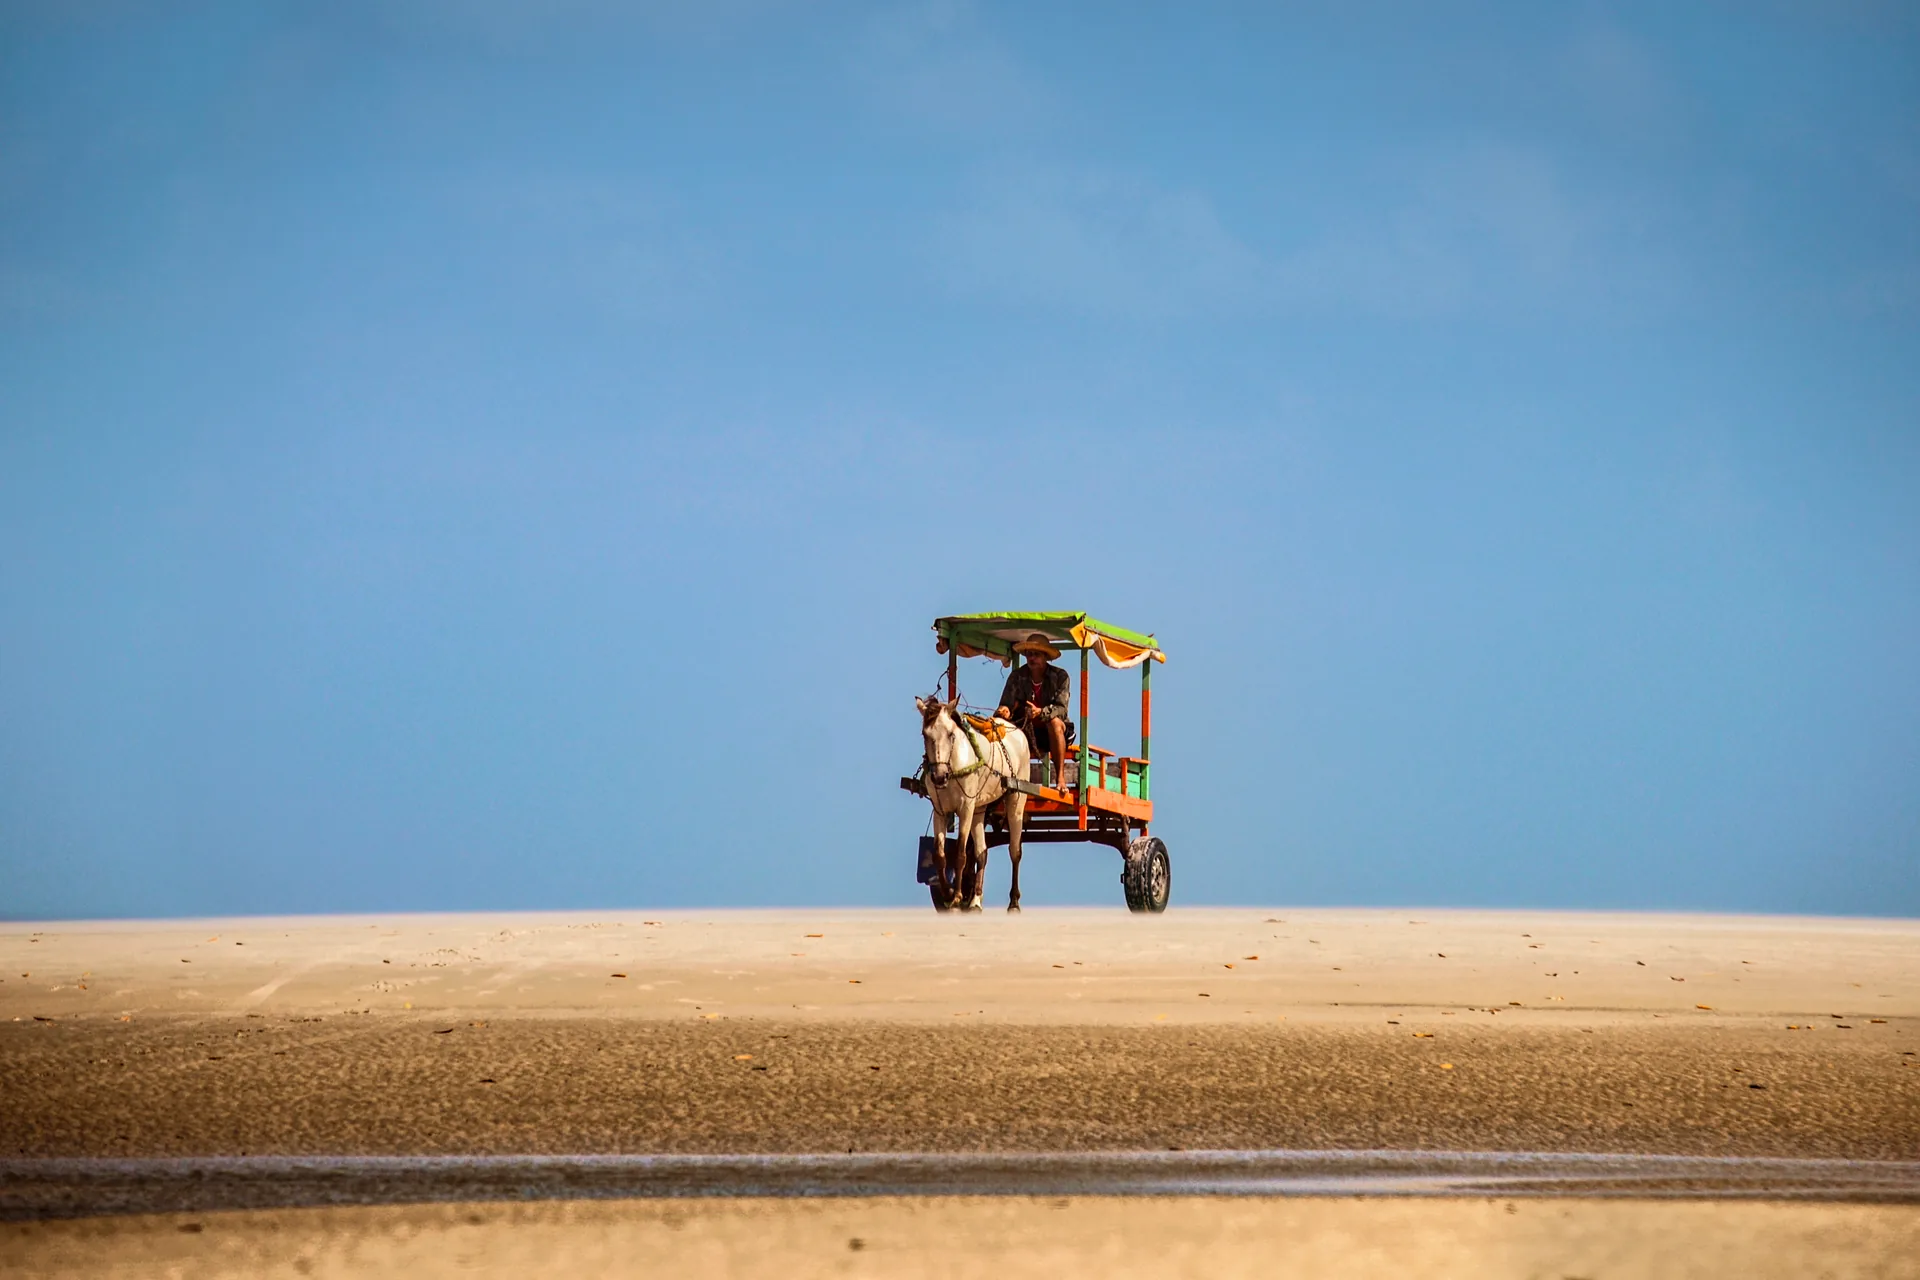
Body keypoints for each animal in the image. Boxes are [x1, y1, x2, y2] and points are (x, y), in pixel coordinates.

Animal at [915, 696, 1031, 912]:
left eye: (951, 734)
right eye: (925, 734)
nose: (939, 776)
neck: (953, 768)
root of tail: (1017, 729)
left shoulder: (966, 808)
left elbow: (961, 853)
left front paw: (957, 896)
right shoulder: (940, 810)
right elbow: (940, 855)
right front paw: (947, 893)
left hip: (1016, 799)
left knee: (1015, 851)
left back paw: (1013, 902)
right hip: (980, 808)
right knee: (981, 852)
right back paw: (975, 899)